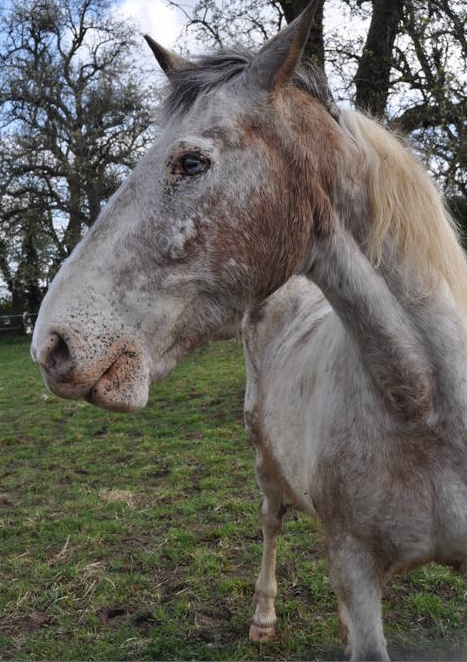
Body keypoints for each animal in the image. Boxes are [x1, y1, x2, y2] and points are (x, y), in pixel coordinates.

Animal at [30, 2, 467, 660]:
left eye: (190, 162)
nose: (52, 345)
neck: (426, 403)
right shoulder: (358, 573)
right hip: (263, 463)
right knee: (271, 522)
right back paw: (262, 616)